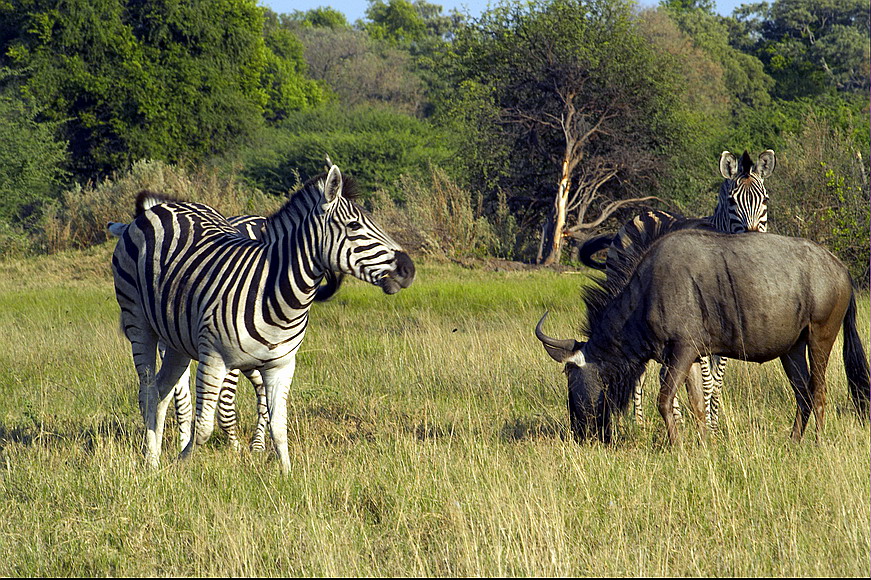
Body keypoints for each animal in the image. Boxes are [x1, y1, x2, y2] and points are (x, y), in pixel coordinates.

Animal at [110, 164, 414, 472]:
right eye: (354, 226)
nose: (408, 269)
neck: (277, 293)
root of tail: (162, 207)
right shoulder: (215, 359)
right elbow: (206, 426)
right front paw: (183, 461)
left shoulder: (282, 365)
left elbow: (279, 427)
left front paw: (287, 475)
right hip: (139, 322)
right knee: (148, 391)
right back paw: (153, 461)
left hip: (176, 341)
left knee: (162, 391)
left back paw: (154, 459)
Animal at [536, 230, 868, 444]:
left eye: (568, 373)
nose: (579, 433)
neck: (646, 294)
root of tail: (841, 269)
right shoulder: (693, 356)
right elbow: (697, 404)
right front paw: (703, 445)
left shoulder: (682, 350)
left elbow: (665, 400)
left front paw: (677, 448)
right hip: (792, 349)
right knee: (803, 394)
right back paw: (793, 442)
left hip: (820, 338)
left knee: (819, 391)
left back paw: (818, 443)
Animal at [580, 150, 776, 430]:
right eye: (731, 201)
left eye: (765, 199)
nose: (752, 238)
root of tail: (646, 213)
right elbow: (706, 381)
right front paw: (705, 426)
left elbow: (717, 379)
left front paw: (713, 425)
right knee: (640, 370)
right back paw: (640, 424)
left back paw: (676, 419)